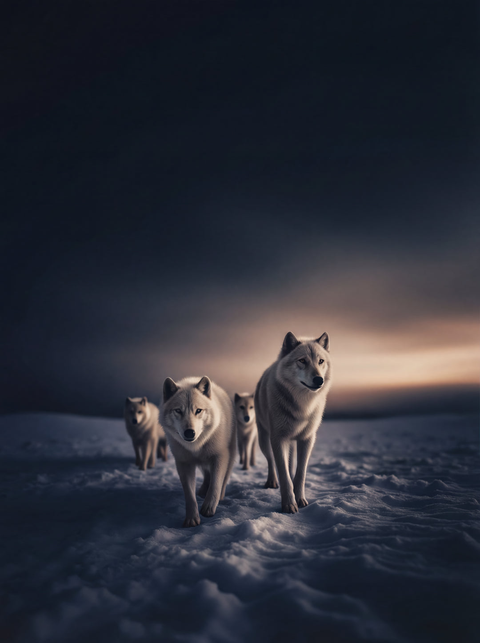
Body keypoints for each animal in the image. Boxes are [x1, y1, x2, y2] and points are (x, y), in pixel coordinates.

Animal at [161, 376, 236, 527]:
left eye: (198, 410)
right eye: (178, 411)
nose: (190, 432)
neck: (196, 446)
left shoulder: (220, 456)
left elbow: (216, 483)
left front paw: (209, 507)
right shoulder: (184, 463)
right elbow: (189, 494)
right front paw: (192, 519)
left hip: (230, 456)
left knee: (224, 478)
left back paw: (220, 496)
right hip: (202, 462)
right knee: (207, 475)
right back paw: (202, 491)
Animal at [255, 331, 332, 513]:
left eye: (321, 361)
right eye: (302, 361)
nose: (319, 380)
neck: (302, 406)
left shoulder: (307, 439)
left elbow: (300, 473)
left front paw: (301, 500)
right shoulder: (278, 439)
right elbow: (284, 475)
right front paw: (289, 504)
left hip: (290, 443)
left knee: (290, 465)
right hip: (264, 440)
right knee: (271, 461)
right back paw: (271, 482)